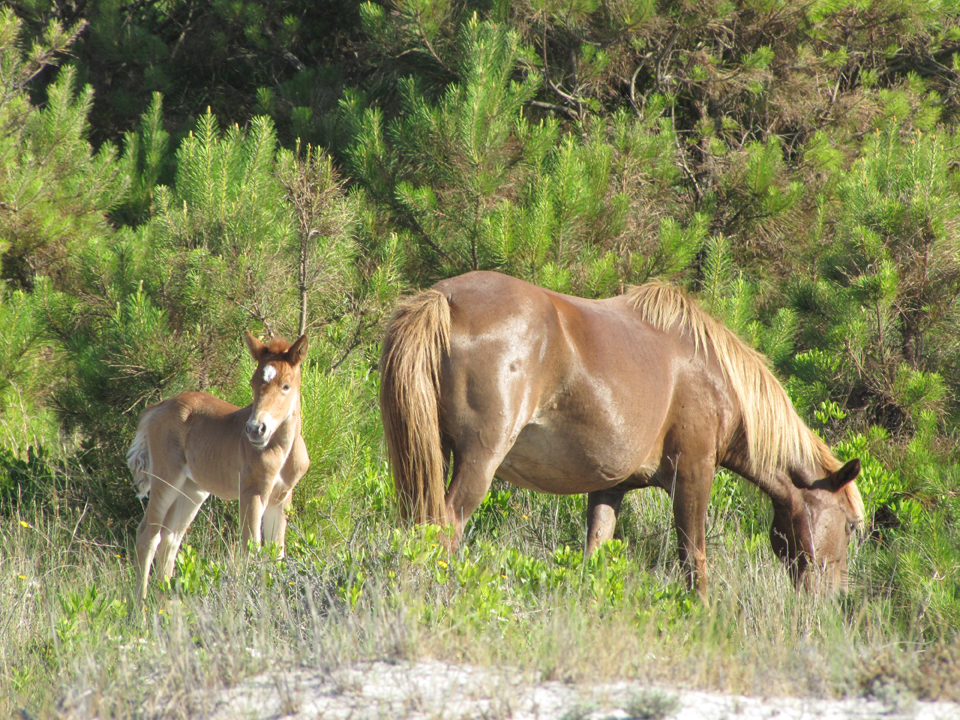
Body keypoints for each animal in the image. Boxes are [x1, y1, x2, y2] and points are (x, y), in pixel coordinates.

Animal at [128, 330, 312, 596]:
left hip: (193, 489)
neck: (281, 451)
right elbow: (251, 551)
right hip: (166, 479)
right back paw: (140, 607)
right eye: (253, 383)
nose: (255, 429)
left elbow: (276, 555)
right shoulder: (252, 493)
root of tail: (157, 407)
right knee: (148, 536)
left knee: (171, 539)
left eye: (285, 386)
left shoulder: (281, 498)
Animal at [378, 272, 868, 596]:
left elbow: (594, 554)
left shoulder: (608, 488)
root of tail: (443, 299)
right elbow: (693, 558)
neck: (711, 374)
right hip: (479, 461)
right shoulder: (694, 474)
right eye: (849, 524)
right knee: (445, 528)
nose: (835, 598)